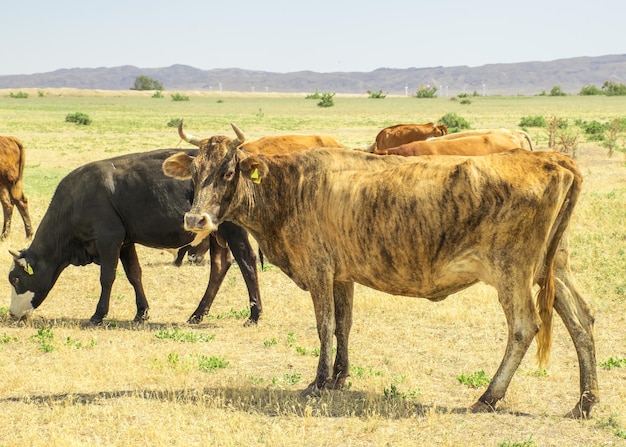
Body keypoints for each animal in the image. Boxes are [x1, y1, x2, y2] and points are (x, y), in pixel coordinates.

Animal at [5, 149, 258, 328]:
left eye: (15, 279)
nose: (12, 314)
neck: (77, 197)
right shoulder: (126, 243)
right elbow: (134, 274)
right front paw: (141, 312)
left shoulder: (109, 240)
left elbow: (107, 278)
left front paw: (98, 314)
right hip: (217, 235)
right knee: (219, 267)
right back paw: (197, 314)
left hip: (233, 231)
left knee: (247, 263)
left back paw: (254, 314)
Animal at [163, 130, 596, 420]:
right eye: (195, 171)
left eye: (229, 171)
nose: (195, 219)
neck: (291, 189)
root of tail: (552, 159)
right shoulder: (342, 275)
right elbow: (344, 324)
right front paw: (339, 376)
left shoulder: (319, 270)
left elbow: (324, 326)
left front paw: (318, 381)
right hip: (553, 267)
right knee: (582, 322)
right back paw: (585, 401)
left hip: (513, 272)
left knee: (524, 326)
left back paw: (489, 395)